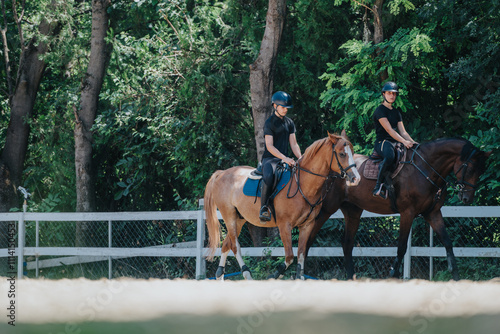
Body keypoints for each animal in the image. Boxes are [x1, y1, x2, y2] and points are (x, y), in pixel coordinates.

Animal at [203, 132, 360, 280]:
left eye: (352, 152)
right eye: (342, 154)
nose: (356, 178)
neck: (303, 185)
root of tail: (222, 173)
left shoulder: (307, 225)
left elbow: (301, 255)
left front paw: (299, 278)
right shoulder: (285, 225)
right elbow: (290, 257)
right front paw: (274, 275)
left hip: (239, 219)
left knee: (227, 244)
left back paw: (220, 276)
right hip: (229, 216)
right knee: (235, 246)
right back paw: (247, 275)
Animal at [308, 137, 492, 280]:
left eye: (481, 169)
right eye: (471, 168)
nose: (467, 198)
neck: (425, 167)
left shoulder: (432, 213)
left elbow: (448, 243)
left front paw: (456, 278)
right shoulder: (407, 213)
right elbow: (402, 247)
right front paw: (393, 276)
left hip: (353, 211)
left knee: (347, 244)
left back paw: (350, 279)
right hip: (325, 209)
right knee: (309, 238)